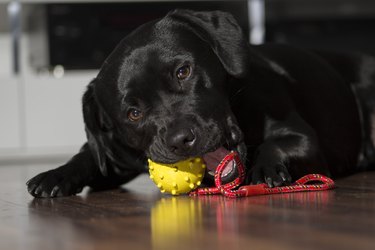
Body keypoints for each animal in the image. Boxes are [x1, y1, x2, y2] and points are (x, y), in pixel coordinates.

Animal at [26, 9, 375, 197]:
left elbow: (276, 144)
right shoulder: (113, 157)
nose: (182, 139)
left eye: (183, 71)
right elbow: (88, 156)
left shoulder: (302, 137)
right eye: (133, 112)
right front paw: (55, 175)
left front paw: (266, 169)